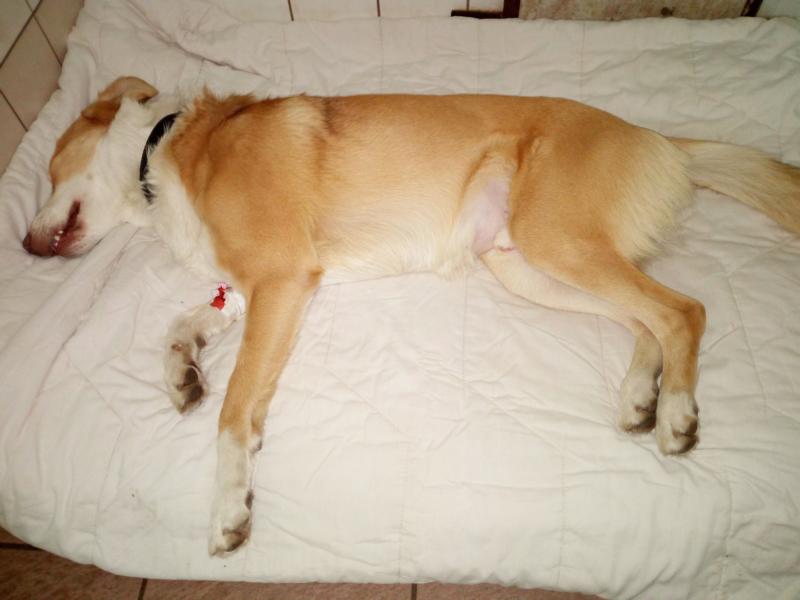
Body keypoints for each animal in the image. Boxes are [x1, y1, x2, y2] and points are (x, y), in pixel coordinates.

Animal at [23, 76, 800, 555]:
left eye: (51, 170)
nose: (25, 248)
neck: (165, 151)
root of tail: (657, 136)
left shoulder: (281, 279)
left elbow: (235, 413)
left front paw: (229, 506)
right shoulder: (249, 291)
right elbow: (181, 327)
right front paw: (183, 370)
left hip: (555, 238)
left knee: (684, 310)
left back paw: (676, 413)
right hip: (526, 264)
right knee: (644, 321)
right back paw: (642, 394)